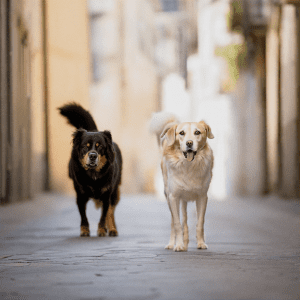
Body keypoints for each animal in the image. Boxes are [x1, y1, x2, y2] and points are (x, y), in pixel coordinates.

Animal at [58, 103, 122, 237]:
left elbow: (104, 215)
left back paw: (112, 229)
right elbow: (83, 216)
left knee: (111, 212)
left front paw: (102, 230)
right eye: (85, 146)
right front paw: (85, 230)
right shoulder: (80, 195)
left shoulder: (106, 195)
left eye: (100, 146)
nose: (93, 155)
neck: (93, 175)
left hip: (114, 192)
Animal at [149, 112, 214, 251]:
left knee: (185, 220)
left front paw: (201, 243)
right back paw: (173, 244)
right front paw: (178, 245)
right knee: (174, 221)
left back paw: (186, 242)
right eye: (181, 133)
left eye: (197, 132)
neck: (188, 166)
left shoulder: (202, 197)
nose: (189, 143)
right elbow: (177, 224)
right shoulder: (174, 197)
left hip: (183, 199)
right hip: (169, 196)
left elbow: (200, 222)